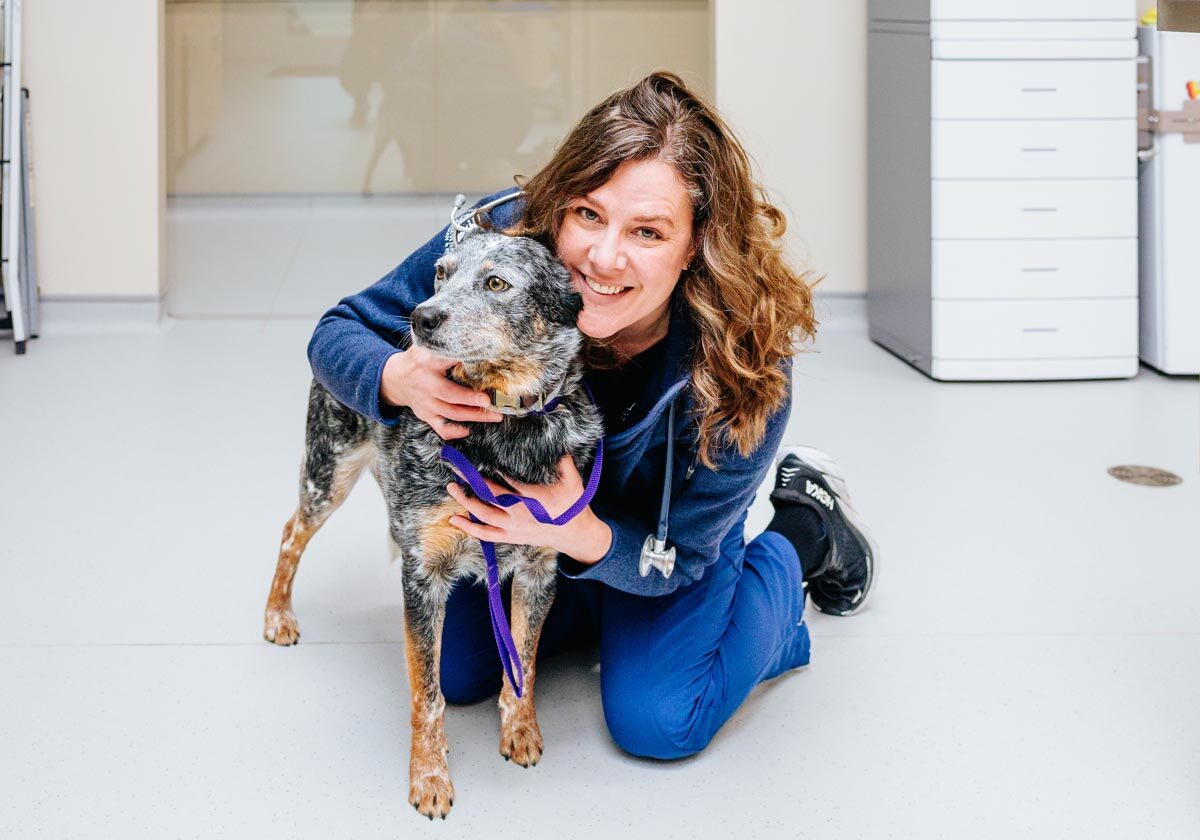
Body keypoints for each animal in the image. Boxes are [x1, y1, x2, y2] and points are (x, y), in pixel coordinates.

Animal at [259, 222, 604, 820]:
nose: (421, 317)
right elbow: (428, 693)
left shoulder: (540, 567)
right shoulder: (422, 578)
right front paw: (429, 776)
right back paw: (278, 615)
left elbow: (525, 661)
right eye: (442, 273)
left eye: (497, 282)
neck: (500, 433)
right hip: (330, 472)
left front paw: (521, 730)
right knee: (290, 535)